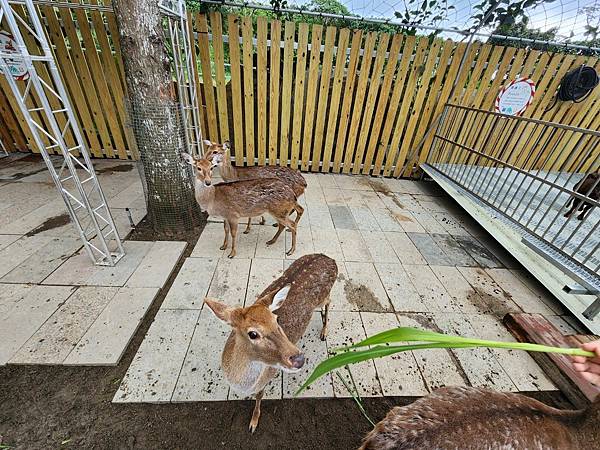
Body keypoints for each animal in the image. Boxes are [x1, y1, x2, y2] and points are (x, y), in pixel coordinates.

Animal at [204, 253, 338, 432]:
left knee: (329, 301)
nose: (299, 359)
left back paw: (324, 331)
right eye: (253, 333)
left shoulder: (266, 378)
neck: (239, 383)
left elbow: (259, 396)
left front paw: (253, 423)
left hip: (323, 296)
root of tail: (330, 258)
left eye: (276, 320)